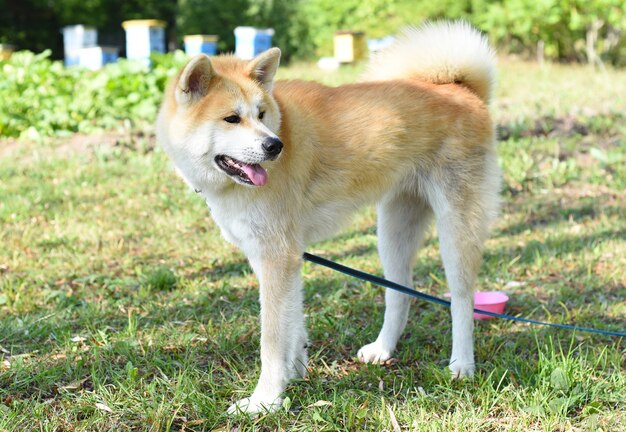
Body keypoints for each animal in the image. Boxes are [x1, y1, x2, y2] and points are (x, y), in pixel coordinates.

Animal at [156, 21, 498, 416]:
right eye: (232, 118)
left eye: (261, 114)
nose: (274, 146)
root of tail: (461, 89)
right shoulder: (277, 256)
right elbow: (293, 324)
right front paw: (295, 373)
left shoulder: (277, 257)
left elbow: (272, 340)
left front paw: (264, 401)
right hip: (393, 232)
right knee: (401, 294)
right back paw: (383, 349)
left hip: (456, 233)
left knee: (461, 300)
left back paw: (462, 364)